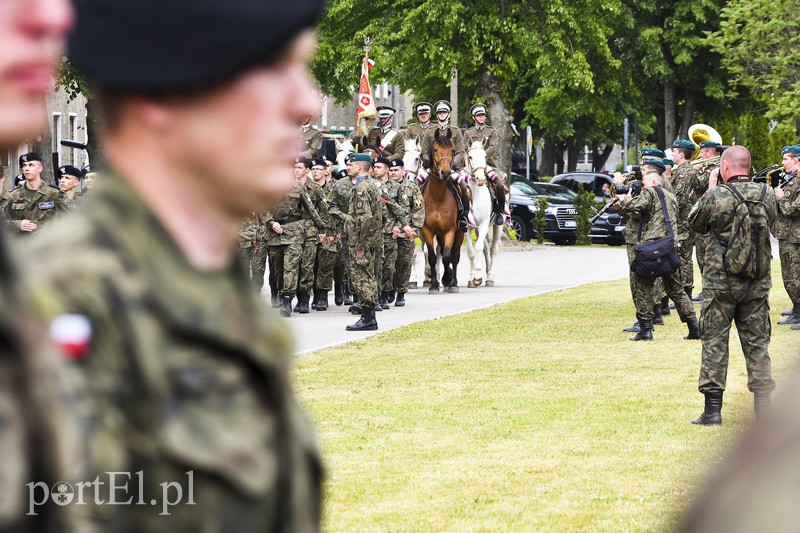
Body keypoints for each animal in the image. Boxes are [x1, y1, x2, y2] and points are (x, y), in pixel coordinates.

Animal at [422, 130, 466, 296]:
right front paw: (434, 285)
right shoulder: (427, 230)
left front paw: (448, 279)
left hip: (460, 233)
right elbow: (433, 257)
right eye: (435, 149)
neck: (437, 197)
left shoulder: (450, 230)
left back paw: (453, 283)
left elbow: (447, 257)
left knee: (455, 256)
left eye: (452, 150)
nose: (445, 172)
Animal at [462, 142, 500, 286]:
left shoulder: (484, 223)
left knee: (492, 249)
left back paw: (489, 277)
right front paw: (472, 277)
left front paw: (477, 276)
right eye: (470, 157)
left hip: (498, 226)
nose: (481, 179)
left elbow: (478, 247)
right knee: (486, 247)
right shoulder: (467, 226)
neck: (476, 194)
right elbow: (471, 251)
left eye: (484, 156)